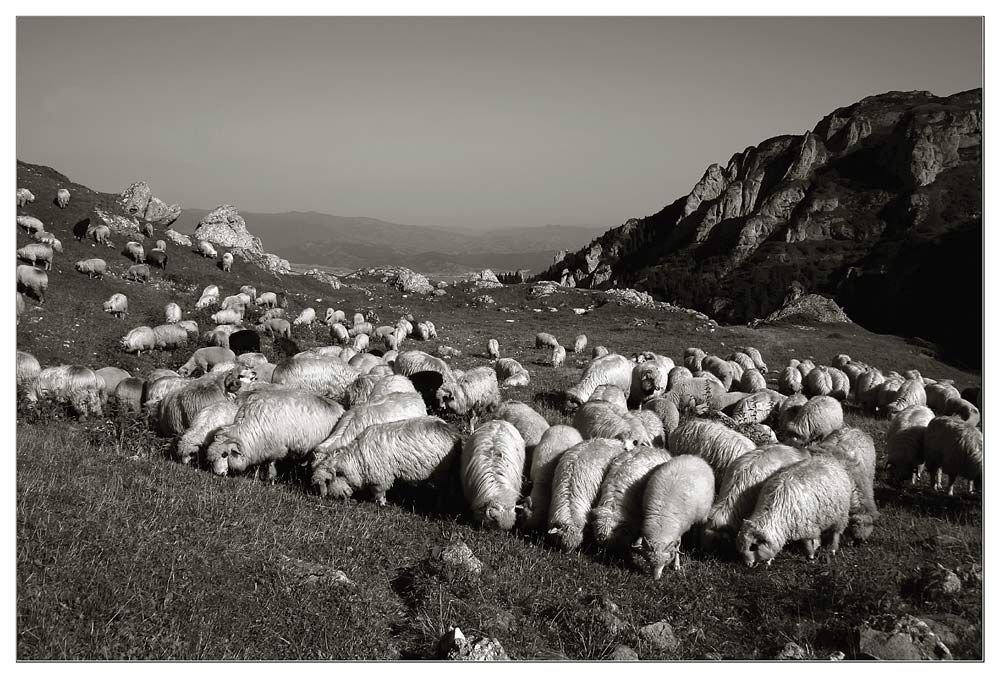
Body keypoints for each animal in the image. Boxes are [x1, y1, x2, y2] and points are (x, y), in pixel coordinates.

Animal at [203, 390, 344, 480]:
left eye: (224, 454)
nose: (218, 474)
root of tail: (339, 407)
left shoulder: (275, 447)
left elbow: (270, 462)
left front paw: (269, 478)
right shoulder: (262, 446)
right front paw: (258, 475)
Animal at [308, 418, 460, 508]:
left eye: (327, 481)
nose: (339, 499)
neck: (357, 461)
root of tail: (452, 432)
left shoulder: (380, 478)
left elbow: (379, 493)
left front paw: (381, 504)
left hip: (442, 471)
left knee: (441, 490)